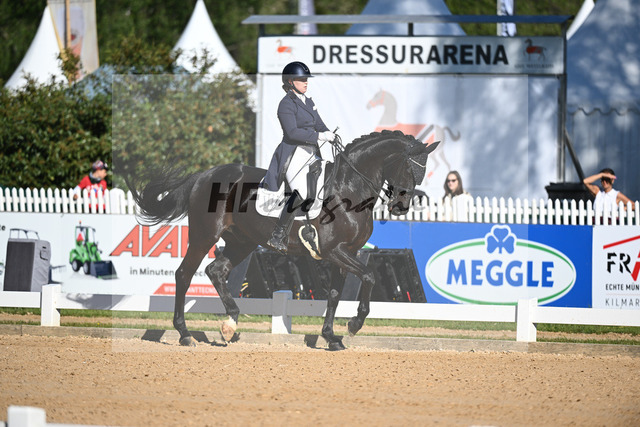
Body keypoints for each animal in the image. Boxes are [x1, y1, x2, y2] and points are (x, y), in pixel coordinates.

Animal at [127, 130, 439, 351]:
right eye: (409, 169)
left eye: (421, 172)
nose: (401, 207)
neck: (350, 188)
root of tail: (205, 174)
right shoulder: (334, 250)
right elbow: (369, 276)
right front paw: (354, 325)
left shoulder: (345, 253)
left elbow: (335, 294)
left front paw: (331, 338)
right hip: (204, 236)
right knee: (184, 274)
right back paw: (184, 333)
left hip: (242, 242)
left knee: (216, 271)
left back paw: (230, 323)